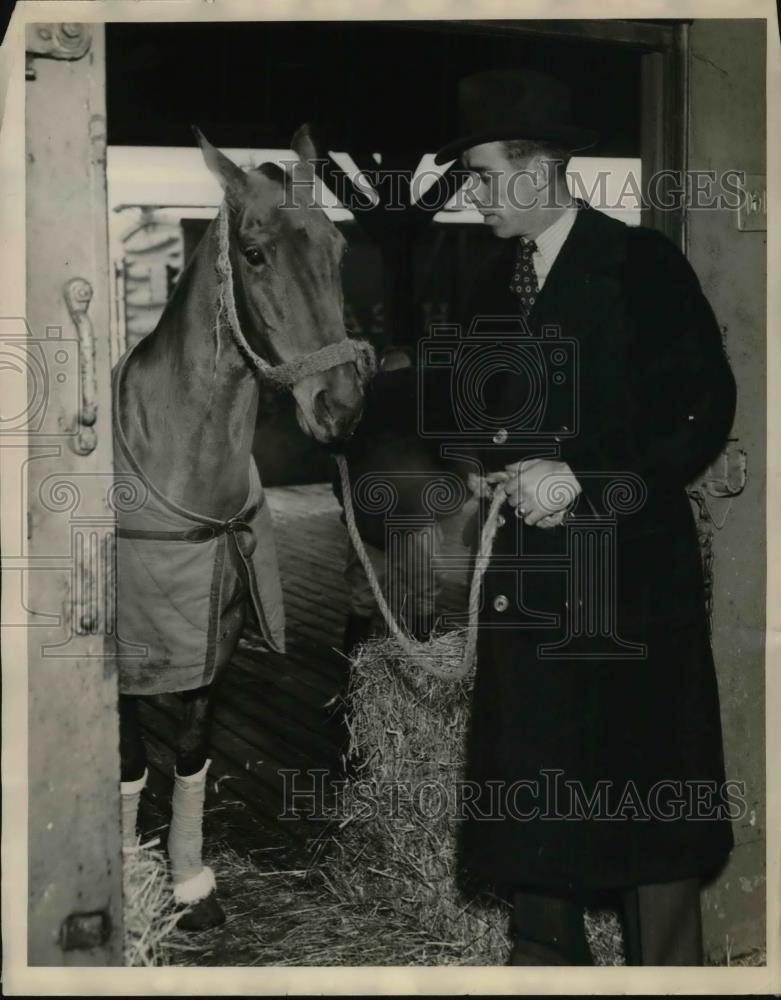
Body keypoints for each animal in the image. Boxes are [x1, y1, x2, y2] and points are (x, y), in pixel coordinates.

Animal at [112, 125, 374, 928]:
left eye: (338, 248)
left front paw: (191, 883)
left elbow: (192, 751)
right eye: (254, 253)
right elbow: (128, 759)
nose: (339, 406)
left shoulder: (216, 632)